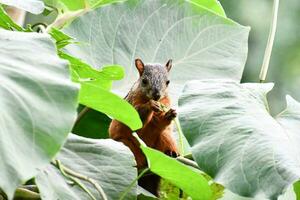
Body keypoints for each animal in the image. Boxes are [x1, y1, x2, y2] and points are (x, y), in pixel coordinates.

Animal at [109, 57, 178, 195]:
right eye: (144, 81)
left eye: (168, 82)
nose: (157, 95)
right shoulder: (131, 107)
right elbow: (137, 123)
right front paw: (150, 105)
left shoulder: (166, 103)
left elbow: (160, 123)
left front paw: (169, 115)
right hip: (124, 144)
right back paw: (138, 162)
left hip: (166, 138)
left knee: (165, 138)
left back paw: (171, 153)